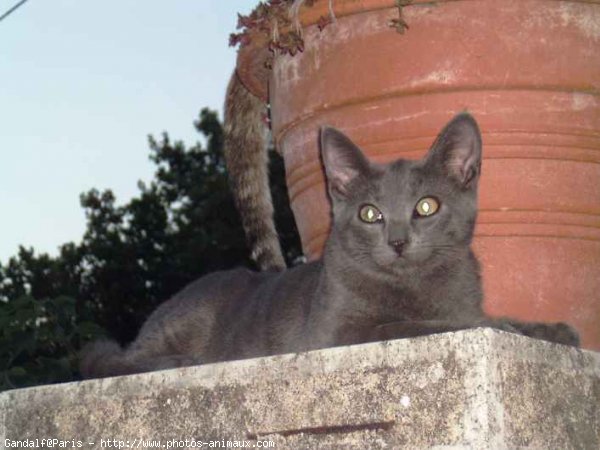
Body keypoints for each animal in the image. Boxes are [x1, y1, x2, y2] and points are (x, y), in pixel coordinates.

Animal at [82, 114, 580, 378]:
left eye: (427, 206)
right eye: (369, 213)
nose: (398, 241)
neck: (416, 286)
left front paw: (550, 329)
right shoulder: (337, 334)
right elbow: (411, 325)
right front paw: (498, 326)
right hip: (189, 319)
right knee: (111, 360)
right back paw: (175, 358)